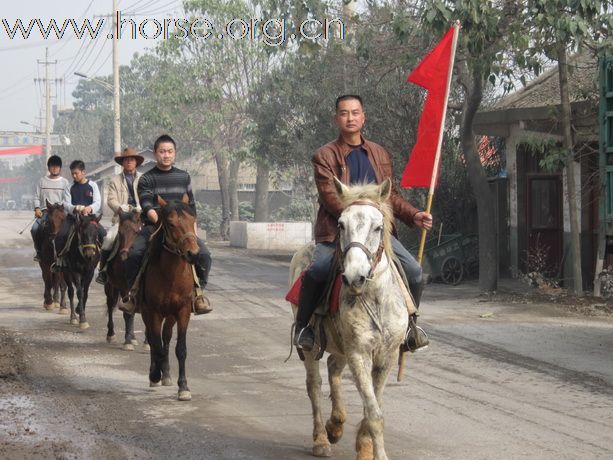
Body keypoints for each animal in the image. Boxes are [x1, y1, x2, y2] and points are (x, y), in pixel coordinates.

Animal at [106, 207, 143, 350]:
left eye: (136, 232)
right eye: (120, 233)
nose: (124, 255)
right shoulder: (123, 287)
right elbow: (127, 313)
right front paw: (127, 341)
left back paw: (133, 337)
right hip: (110, 286)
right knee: (110, 305)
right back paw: (111, 334)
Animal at [139, 193, 197, 398]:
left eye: (193, 220)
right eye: (171, 224)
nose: (193, 253)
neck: (171, 275)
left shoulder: (183, 311)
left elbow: (180, 349)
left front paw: (184, 387)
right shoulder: (154, 311)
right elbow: (155, 345)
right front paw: (154, 375)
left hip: (170, 315)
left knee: (166, 337)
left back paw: (165, 373)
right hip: (146, 311)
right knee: (153, 338)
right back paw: (155, 373)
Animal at [288, 178, 412, 460]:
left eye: (378, 227)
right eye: (341, 225)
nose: (355, 276)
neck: (376, 298)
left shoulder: (387, 356)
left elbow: (373, 405)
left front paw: (364, 448)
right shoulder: (359, 353)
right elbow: (374, 413)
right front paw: (377, 453)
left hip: (340, 344)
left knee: (333, 366)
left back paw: (336, 424)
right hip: (312, 344)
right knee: (314, 384)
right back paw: (321, 439)